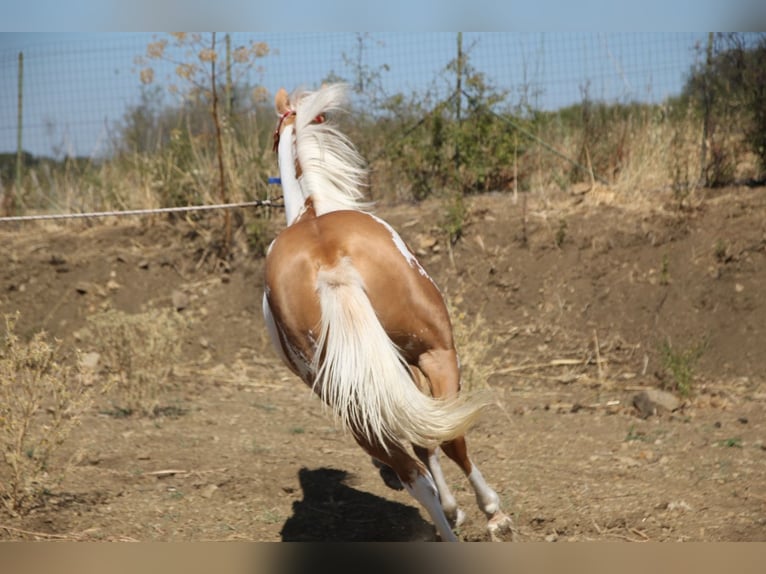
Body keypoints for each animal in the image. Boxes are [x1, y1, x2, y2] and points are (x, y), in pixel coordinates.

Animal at [264, 83, 516, 544]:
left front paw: (452, 509)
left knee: (419, 463)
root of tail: (330, 261)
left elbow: (422, 440)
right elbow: (431, 440)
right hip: (436, 353)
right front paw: (472, 510)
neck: (312, 206)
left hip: (355, 398)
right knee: (445, 443)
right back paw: (488, 513)